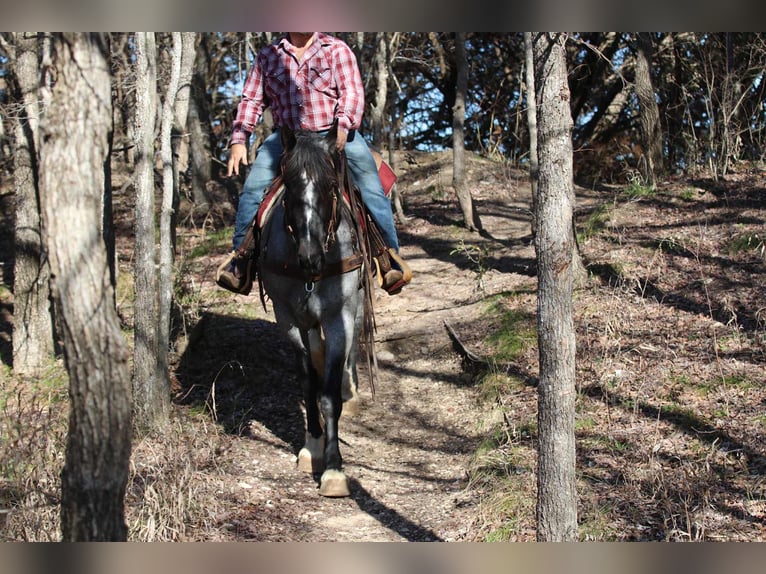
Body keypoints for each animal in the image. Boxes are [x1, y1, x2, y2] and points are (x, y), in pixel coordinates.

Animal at [257, 126, 374, 497]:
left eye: (331, 185)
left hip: (355, 308)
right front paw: (312, 446)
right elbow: (308, 382)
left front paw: (334, 470)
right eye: (290, 184)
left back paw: (351, 389)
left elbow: (329, 395)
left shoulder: (339, 317)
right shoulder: (288, 319)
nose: (310, 257)